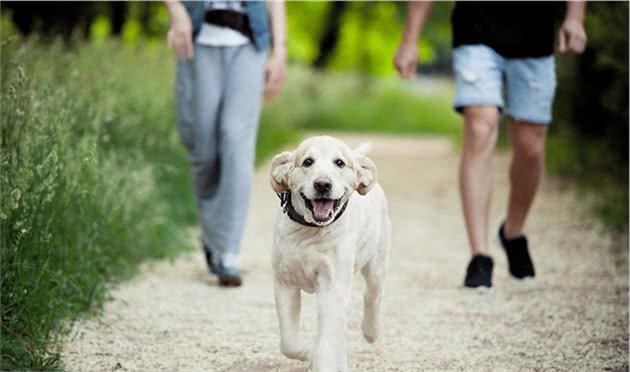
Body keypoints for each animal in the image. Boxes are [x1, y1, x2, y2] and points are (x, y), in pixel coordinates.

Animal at [270, 137, 390, 372]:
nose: (323, 184)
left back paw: (371, 332)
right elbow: (289, 343)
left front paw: (319, 360)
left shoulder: (333, 287)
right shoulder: (285, 284)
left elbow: (326, 343)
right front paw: (307, 354)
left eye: (340, 163)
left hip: (376, 266)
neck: (309, 231)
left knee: (372, 296)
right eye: (307, 162)